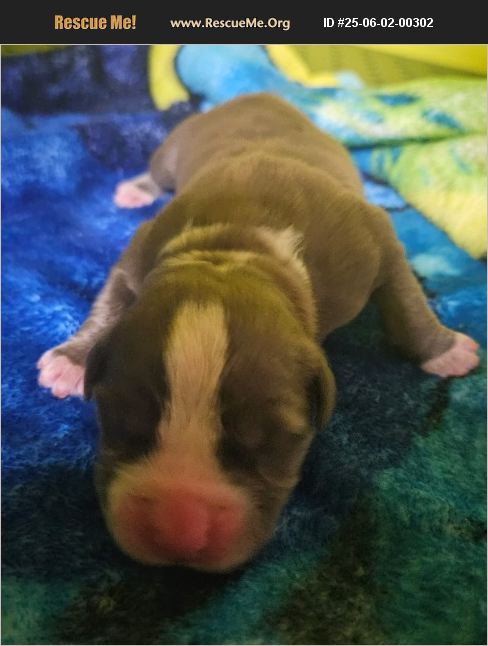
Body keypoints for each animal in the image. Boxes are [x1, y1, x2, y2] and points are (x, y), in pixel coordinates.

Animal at [37, 93, 480, 572]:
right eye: (121, 418)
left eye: (269, 439)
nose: (178, 530)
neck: (236, 249)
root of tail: (260, 95)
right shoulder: (142, 250)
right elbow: (109, 297)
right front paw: (71, 359)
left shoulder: (374, 240)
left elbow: (406, 298)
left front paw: (443, 350)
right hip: (176, 148)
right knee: (157, 171)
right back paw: (136, 189)